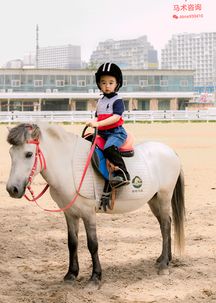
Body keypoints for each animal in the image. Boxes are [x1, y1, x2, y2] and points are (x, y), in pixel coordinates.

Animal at [6, 123, 186, 288]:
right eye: (10, 153)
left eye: (29, 154)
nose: (12, 189)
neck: (69, 166)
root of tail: (171, 152)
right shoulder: (70, 213)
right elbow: (72, 243)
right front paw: (71, 274)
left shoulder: (88, 214)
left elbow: (93, 244)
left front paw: (95, 277)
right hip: (153, 200)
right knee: (165, 224)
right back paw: (165, 259)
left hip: (164, 196)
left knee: (165, 225)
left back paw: (163, 266)